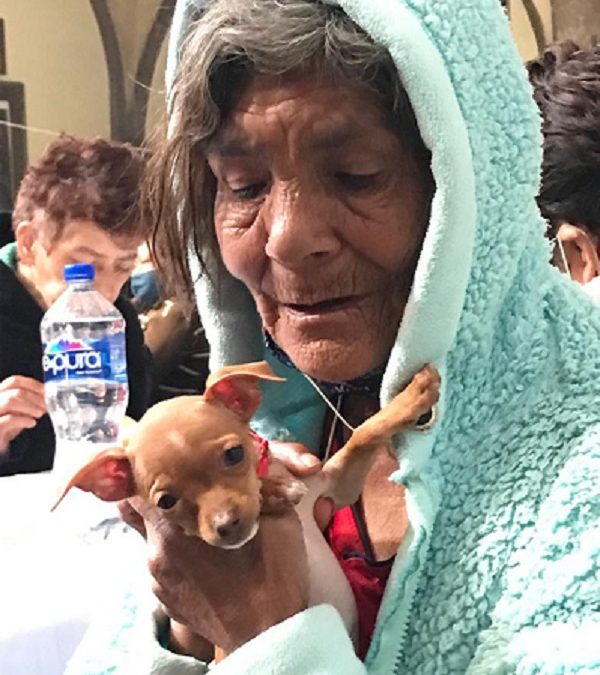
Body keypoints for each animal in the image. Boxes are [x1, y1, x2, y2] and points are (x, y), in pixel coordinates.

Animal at [54, 362, 438, 664]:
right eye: (166, 502)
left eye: (235, 454)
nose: (227, 525)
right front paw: (273, 490)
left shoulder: (336, 485)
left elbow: (364, 434)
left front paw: (412, 396)